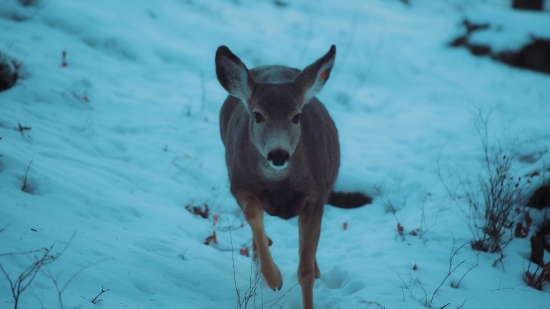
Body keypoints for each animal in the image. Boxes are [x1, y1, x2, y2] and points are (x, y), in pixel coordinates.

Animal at [217, 45, 370, 308]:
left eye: (297, 116)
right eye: (257, 115)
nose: (278, 154)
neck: (280, 184)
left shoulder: (315, 196)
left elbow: (305, 270)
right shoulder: (238, 183)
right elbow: (253, 214)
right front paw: (274, 278)